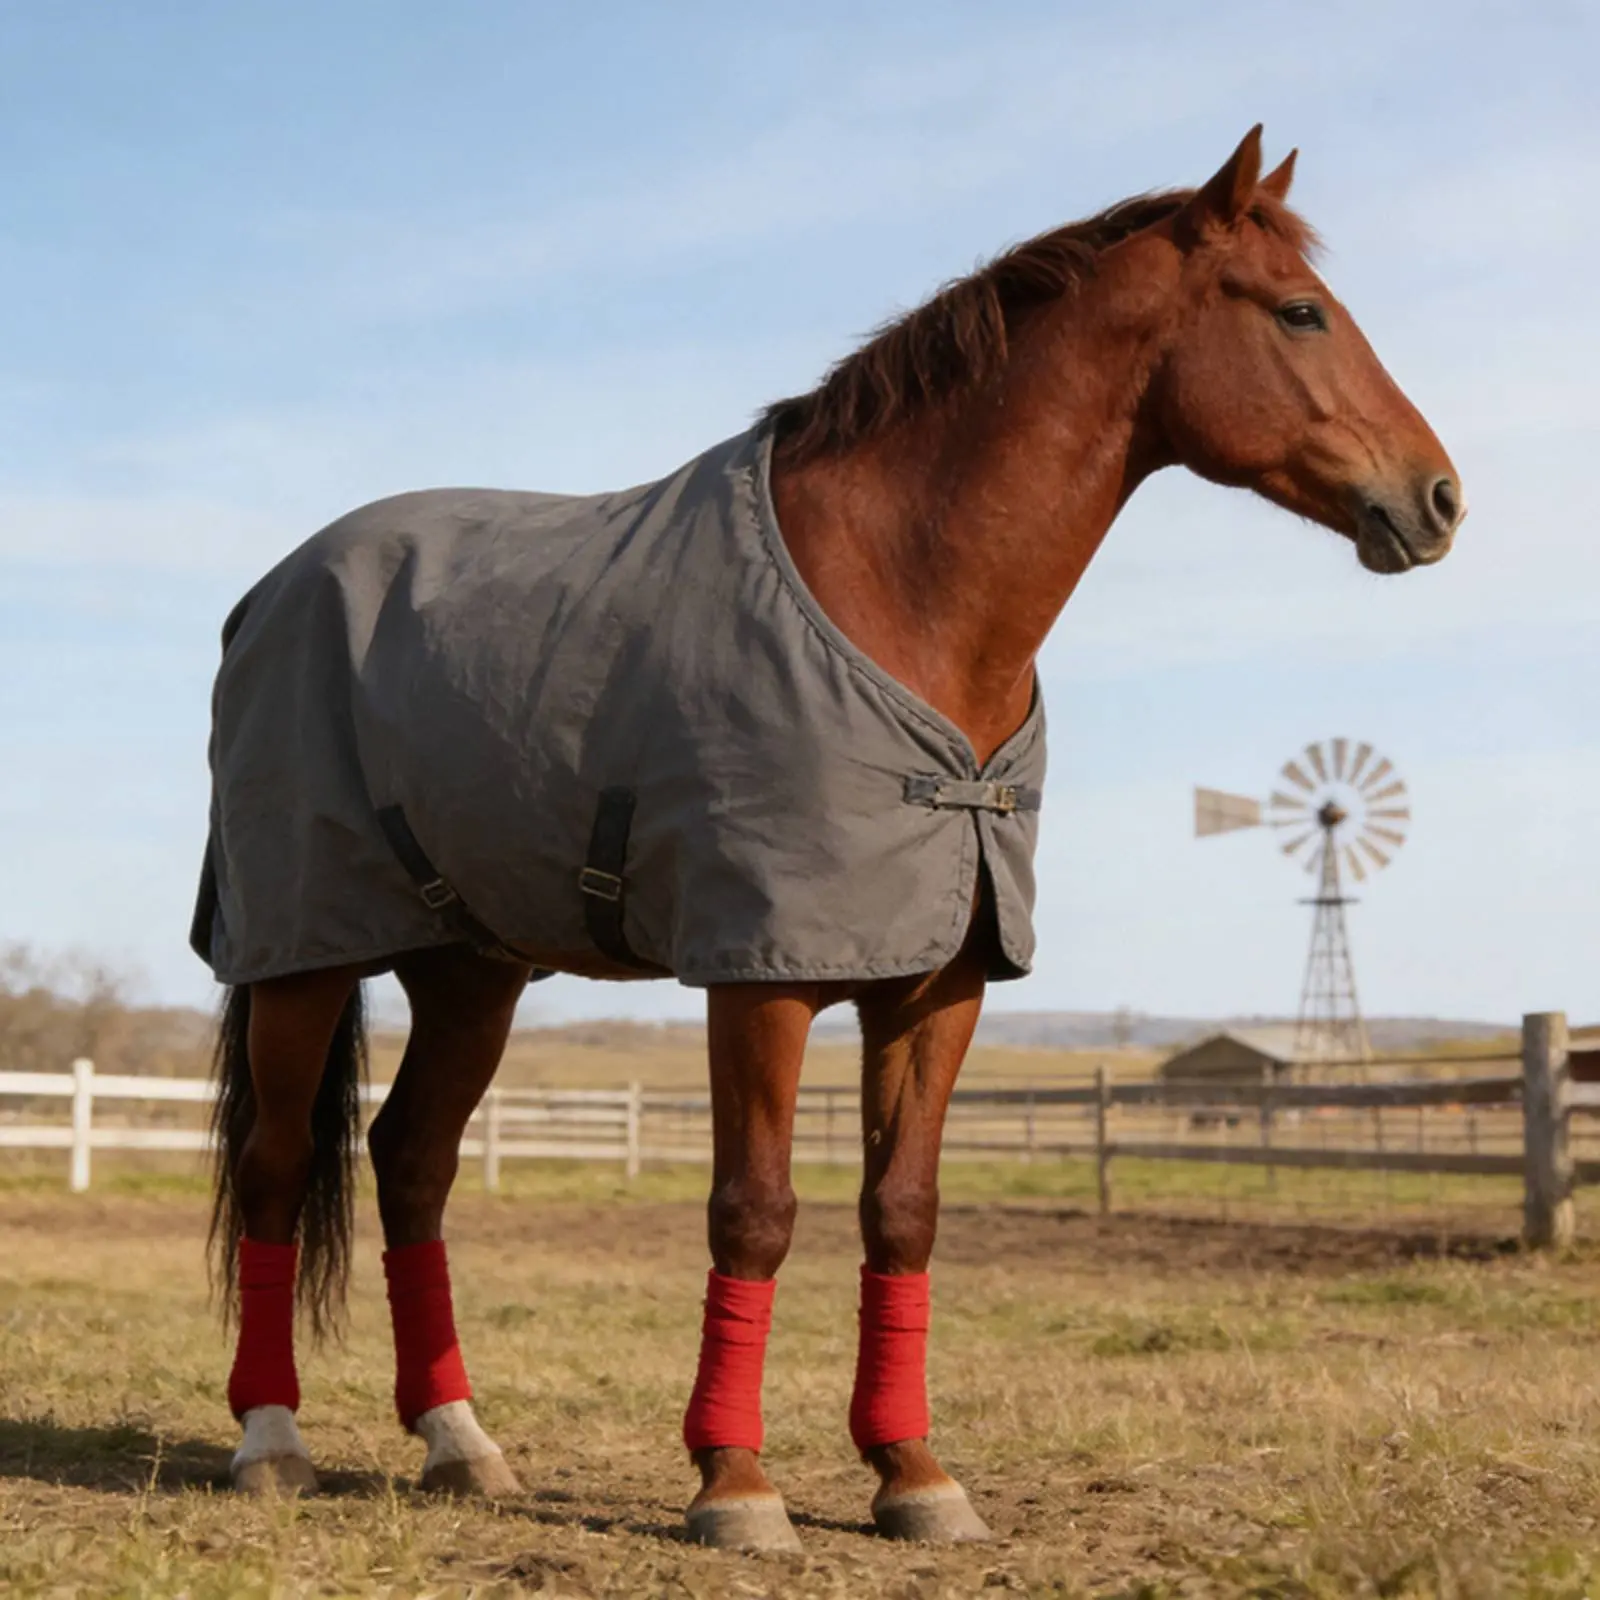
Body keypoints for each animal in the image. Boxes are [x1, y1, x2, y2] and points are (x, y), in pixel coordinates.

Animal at [192, 126, 1462, 1550]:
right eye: (1300, 312)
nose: (1437, 497)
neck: (901, 594)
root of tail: (272, 593)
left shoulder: (940, 982)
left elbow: (899, 1213)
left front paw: (913, 1471)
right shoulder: (764, 976)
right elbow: (754, 1212)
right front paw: (735, 1483)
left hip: (472, 969)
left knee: (411, 1163)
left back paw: (459, 1439)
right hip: (301, 956)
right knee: (276, 1163)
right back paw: (272, 1437)